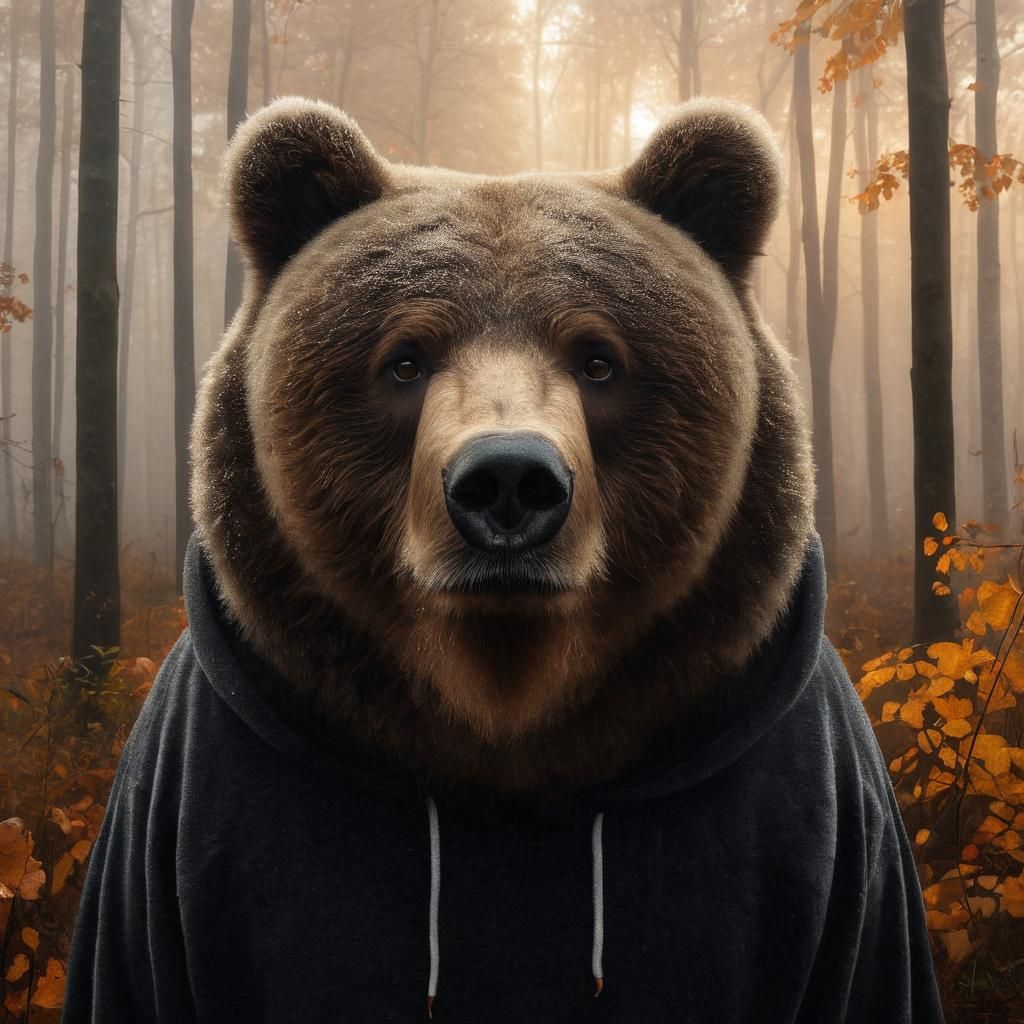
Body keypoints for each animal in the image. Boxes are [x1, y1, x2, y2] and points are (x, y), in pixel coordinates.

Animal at [62, 97, 944, 1023]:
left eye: (599, 360)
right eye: (404, 360)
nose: (510, 482)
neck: (501, 707)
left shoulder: (819, 813)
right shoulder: (187, 804)